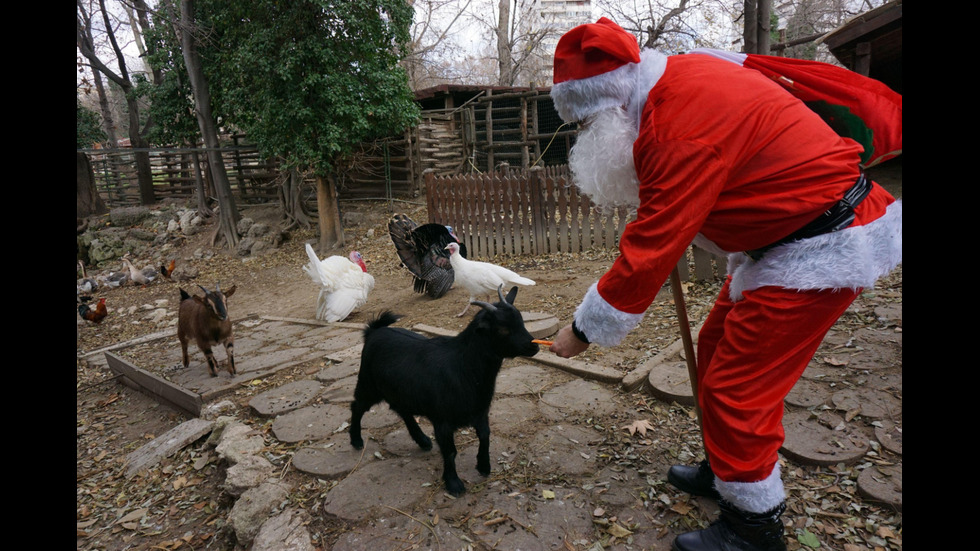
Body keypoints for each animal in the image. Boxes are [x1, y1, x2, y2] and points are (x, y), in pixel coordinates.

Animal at [350, 284, 540, 496]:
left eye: (521, 321)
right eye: (504, 329)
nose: (534, 347)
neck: (463, 365)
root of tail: (373, 332)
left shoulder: (480, 411)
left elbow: (485, 435)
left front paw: (483, 466)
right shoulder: (442, 420)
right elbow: (450, 452)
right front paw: (454, 484)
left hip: (401, 391)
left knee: (403, 411)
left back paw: (422, 440)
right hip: (368, 385)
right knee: (357, 406)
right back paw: (356, 440)